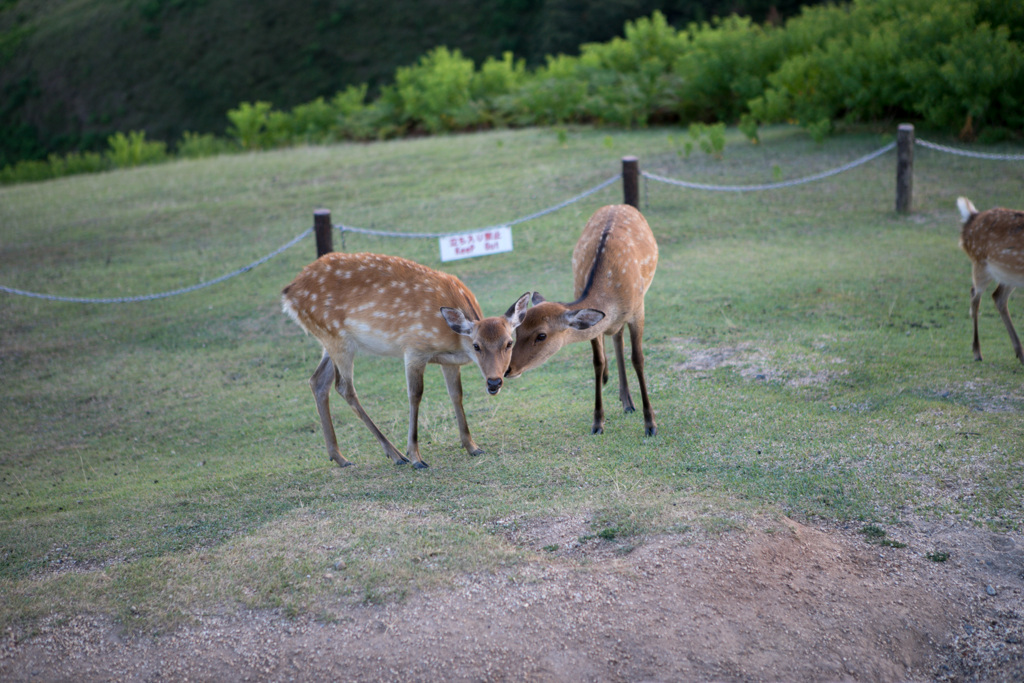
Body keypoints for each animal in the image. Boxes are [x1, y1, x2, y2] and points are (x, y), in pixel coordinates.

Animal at [284, 250, 532, 471]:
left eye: (509, 342)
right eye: (477, 345)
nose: (494, 382)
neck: (455, 341)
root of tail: (288, 294)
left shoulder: (449, 361)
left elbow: (456, 395)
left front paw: (472, 446)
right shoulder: (414, 349)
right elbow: (415, 396)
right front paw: (416, 457)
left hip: (328, 340)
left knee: (318, 381)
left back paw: (340, 457)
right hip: (337, 337)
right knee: (344, 387)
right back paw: (395, 454)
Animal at [505, 204, 663, 438]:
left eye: (541, 335)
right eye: (517, 331)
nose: (507, 369)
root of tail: (618, 204)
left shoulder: (638, 310)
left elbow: (638, 359)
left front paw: (650, 424)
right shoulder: (596, 324)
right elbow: (597, 362)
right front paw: (598, 422)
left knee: (619, 338)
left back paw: (628, 402)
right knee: (616, 337)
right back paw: (622, 395)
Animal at [954, 196, 1024, 366]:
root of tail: (972, 217)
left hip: (1009, 273)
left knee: (997, 296)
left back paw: (1020, 354)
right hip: (980, 262)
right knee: (975, 296)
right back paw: (977, 352)